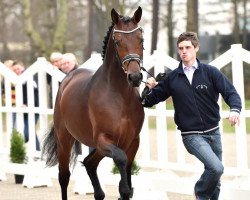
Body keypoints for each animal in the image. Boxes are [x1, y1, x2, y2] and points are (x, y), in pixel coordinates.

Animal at [41, 6, 145, 200]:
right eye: (117, 41)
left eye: (140, 39)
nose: (134, 77)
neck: (119, 96)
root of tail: (68, 78)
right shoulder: (104, 139)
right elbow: (121, 160)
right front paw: (124, 189)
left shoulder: (133, 141)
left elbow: (127, 171)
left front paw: (125, 190)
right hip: (64, 139)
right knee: (64, 176)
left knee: (89, 163)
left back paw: (98, 192)